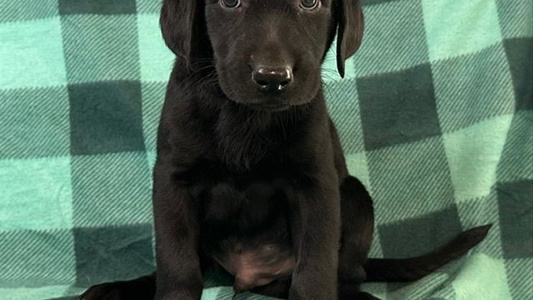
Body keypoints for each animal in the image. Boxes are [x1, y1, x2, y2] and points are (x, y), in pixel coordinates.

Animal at [79, 0, 490, 300]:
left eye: (310, 3)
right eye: (229, 2)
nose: (273, 77)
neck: (244, 117)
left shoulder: (315, 185)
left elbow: (314, 269)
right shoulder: (173, 182)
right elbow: (177, 266)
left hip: (355, 197)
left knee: (347, 276)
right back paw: (116, 289)